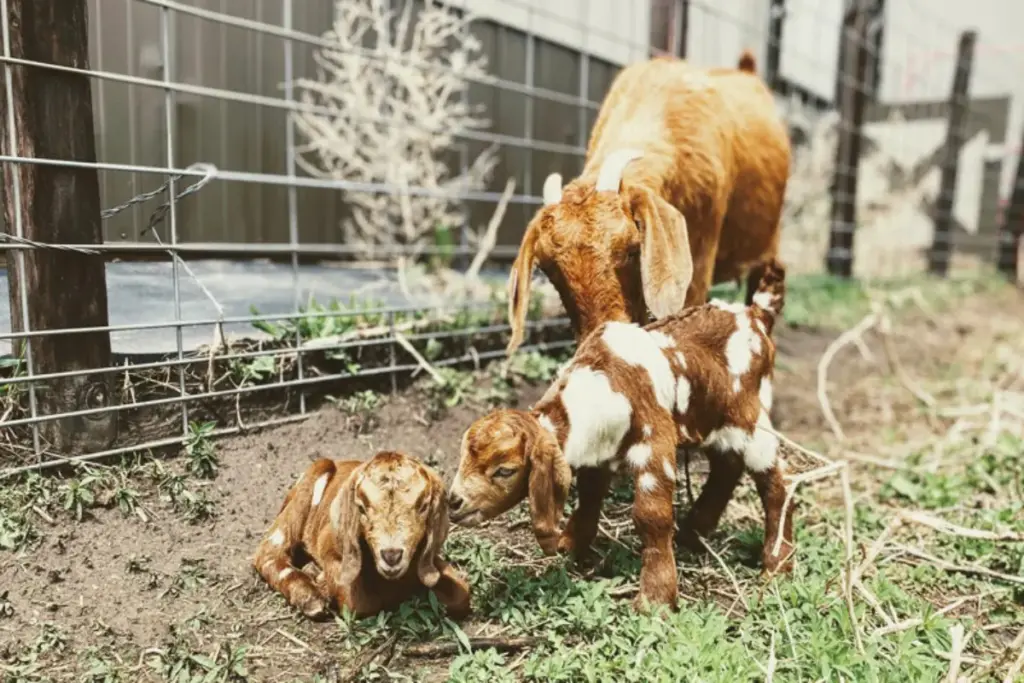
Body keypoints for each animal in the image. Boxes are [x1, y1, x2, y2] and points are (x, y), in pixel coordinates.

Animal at [254, 450, 471, 620]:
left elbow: (462, 593)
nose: (391, 555)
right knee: (268, 551)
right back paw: (309, 597)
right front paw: (320, 580)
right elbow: (359, 602)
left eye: (423, 506)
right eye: (361, 507)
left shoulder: (428, 561)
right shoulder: (330, 547)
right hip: (307, 488)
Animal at [449, 260, 793, 611]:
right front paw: (570, 546)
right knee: (727, 466)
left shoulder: (655, 438)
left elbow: (650, 515)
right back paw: (693, 532)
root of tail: (756, 313)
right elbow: (589, 497)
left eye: (505, 470)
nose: (453, 501)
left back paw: (776, 564)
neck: (604, 381)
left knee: (779, 482)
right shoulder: (596, 452)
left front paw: (655, 599)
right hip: (713, 420)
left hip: (751, 419)